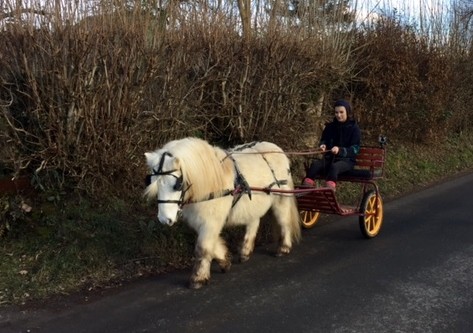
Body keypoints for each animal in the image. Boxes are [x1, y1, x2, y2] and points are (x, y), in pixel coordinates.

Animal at [143, 136, 298, 286]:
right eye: (153, 182)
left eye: (177, 185)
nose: (165, 219)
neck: (209, 184)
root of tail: (277, 149)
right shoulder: (200, 221)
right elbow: (211, 243)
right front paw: (224, 260)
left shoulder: (211, 221)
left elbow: (203, 247)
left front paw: (198, 278)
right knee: (253, 222)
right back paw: (245, 252)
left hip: (281, 198)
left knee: (283, 220)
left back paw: (284, 247)